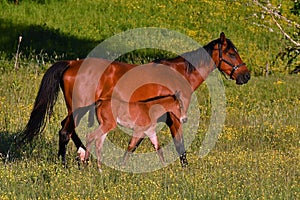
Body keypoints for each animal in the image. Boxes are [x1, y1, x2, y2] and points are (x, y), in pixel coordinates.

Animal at [17, 32, 250, 167]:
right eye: (231, 53)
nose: (245, 75)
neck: (179, 74)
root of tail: (71, 64)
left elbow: (136, 144)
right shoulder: (174, 118)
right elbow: (179, 144)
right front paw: (185, 171)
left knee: (67, 129)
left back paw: (82, 156)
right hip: (78, 109)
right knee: (65, 132)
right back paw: (70, 162)